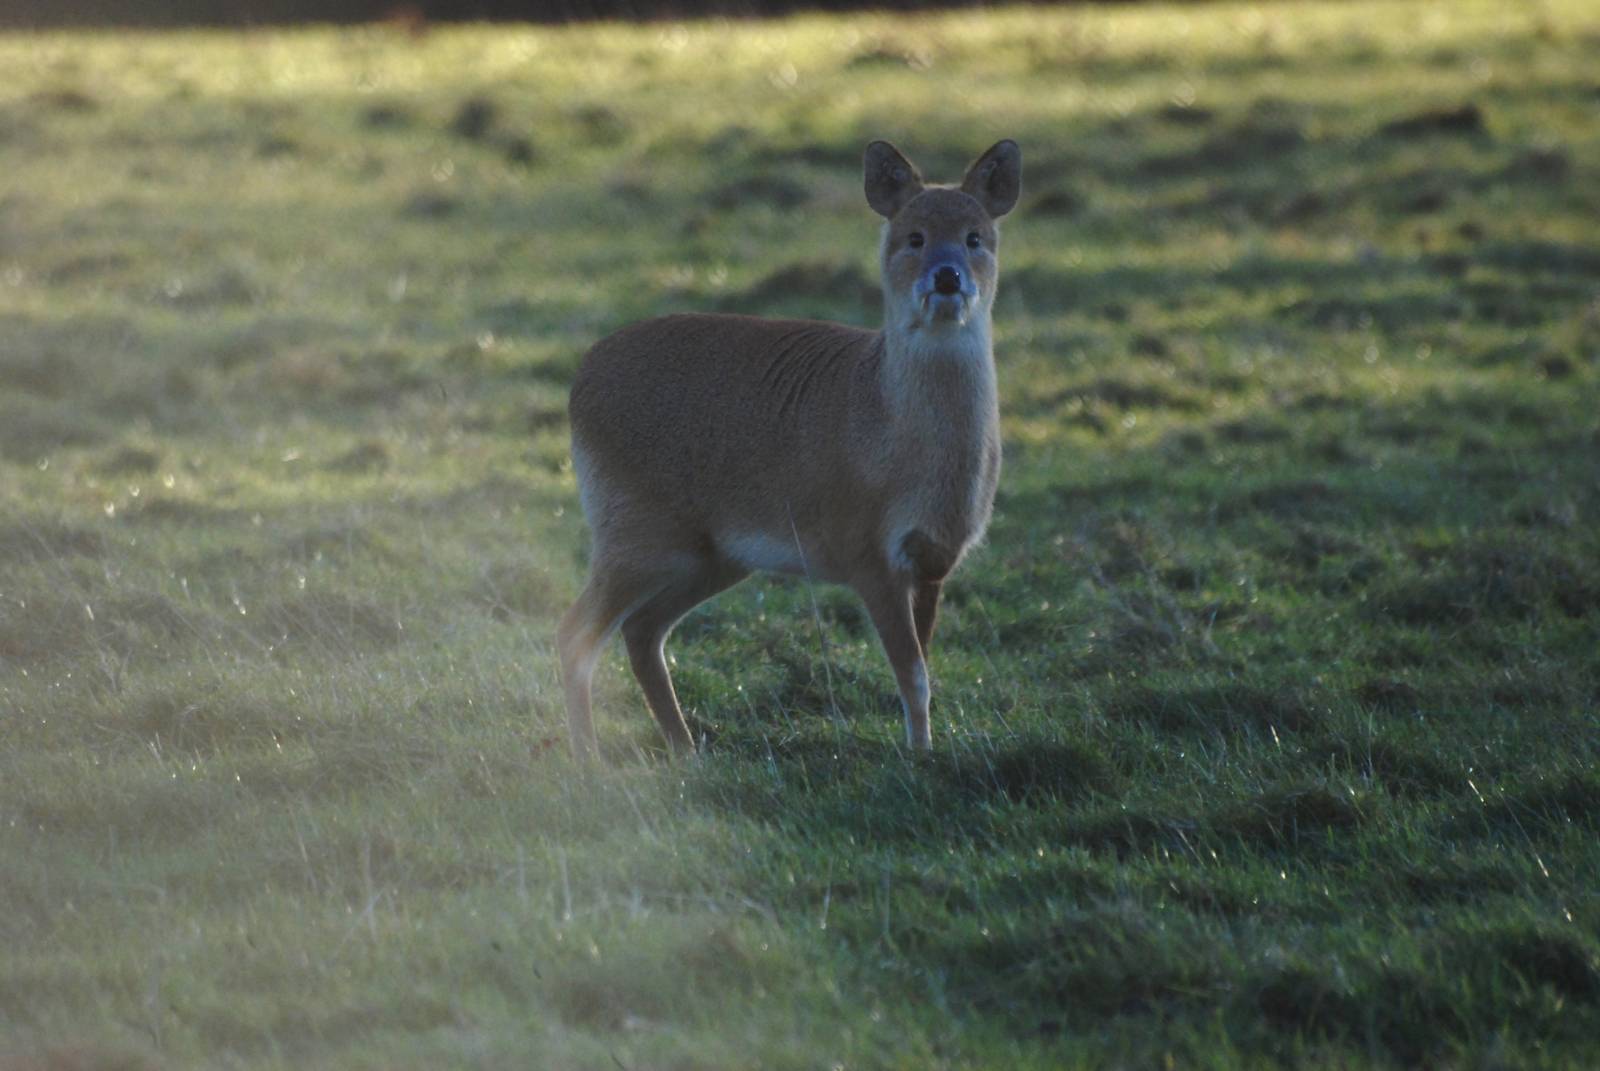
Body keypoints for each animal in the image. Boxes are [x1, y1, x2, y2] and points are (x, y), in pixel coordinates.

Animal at [557, 139, 1022, 760]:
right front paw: (919, 758)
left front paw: (927, 751)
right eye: (913, 236)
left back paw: (686, 751)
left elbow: (923, 667)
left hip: (710, 553)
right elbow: (912, 672)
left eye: (975, 237)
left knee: (641, 630)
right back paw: (591, 759)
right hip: (632, 525)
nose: (947, 277)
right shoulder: (865, 549)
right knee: (576, 633)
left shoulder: (933, 561)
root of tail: (580, 379)